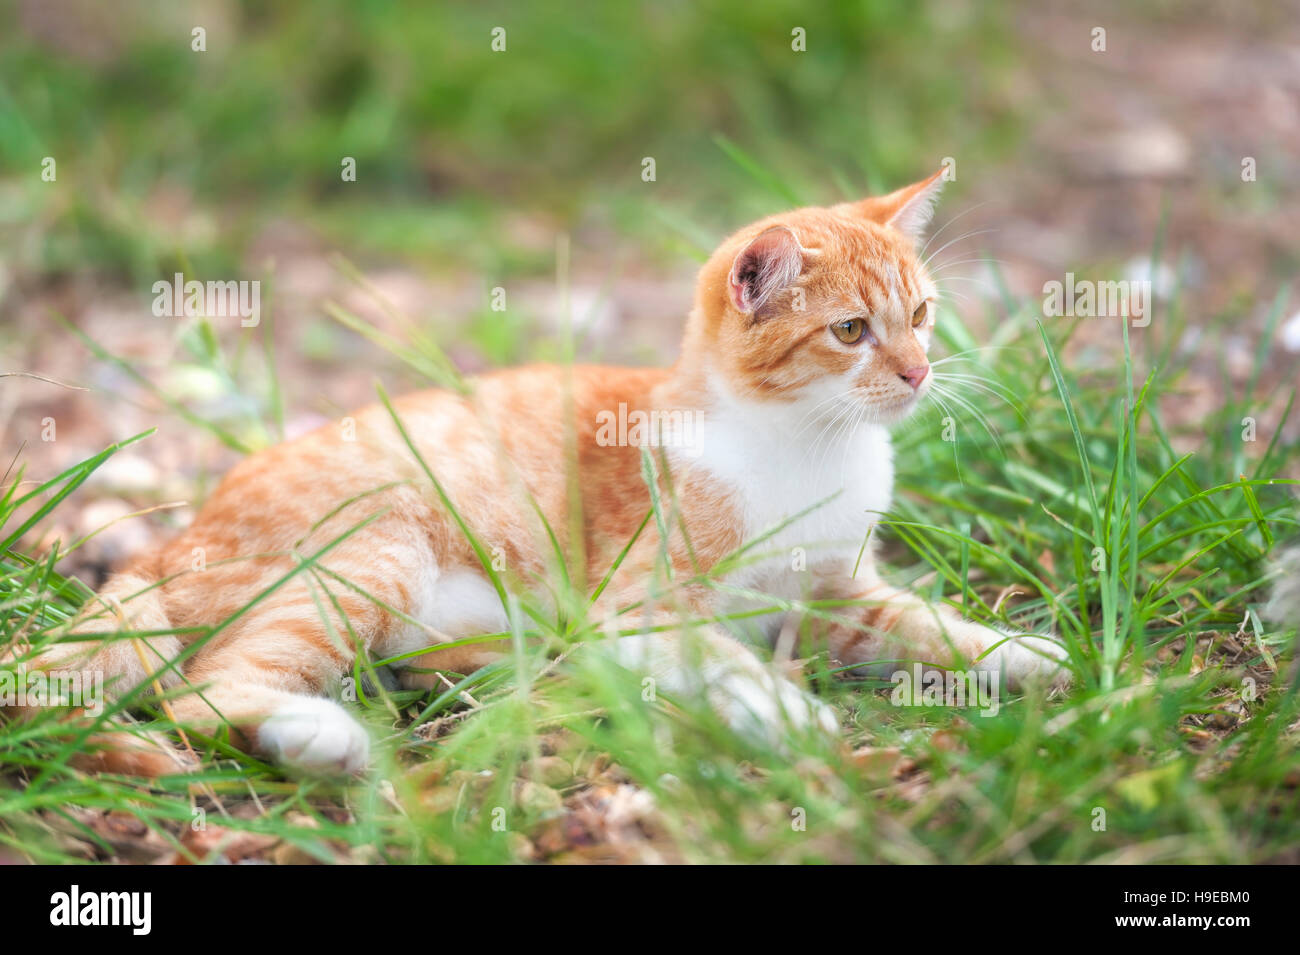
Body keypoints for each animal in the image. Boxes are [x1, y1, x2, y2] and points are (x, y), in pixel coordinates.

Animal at [17, 167, 1066, 774]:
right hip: (375, 554)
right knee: (204, 691)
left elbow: (926, 623)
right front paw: (779, 710)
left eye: (921, 315)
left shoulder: (835, 596)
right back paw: (320, 738)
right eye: (851, 331)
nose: (920, 371)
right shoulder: (639, 607)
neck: (808, 446)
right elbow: (718, 653)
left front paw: (1026, 654)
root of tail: (178, 537)